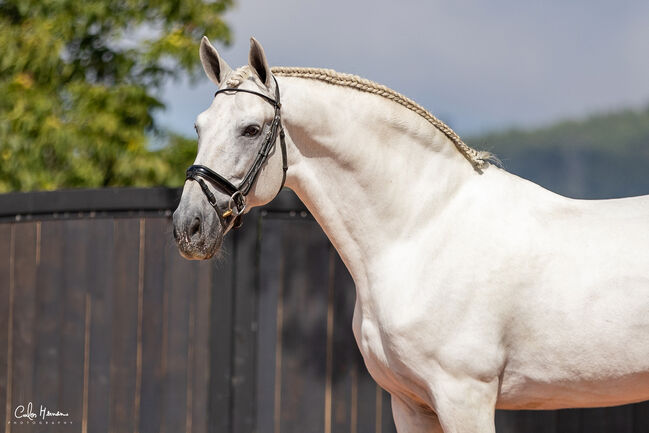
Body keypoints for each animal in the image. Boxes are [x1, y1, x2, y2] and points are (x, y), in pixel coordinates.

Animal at [172, 38, 648, 432]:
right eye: (199, 127)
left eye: (251, 129)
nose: (189, 227)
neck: (424, 230)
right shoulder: (411, 404)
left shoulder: (464, 396)